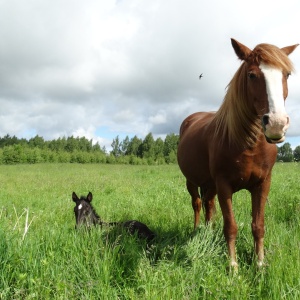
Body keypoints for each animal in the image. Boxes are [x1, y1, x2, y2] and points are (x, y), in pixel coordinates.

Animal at [178, 38, 298, 268]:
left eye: (286, 74)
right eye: (251, 75)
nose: (276, 124)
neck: (247, 144)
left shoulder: (262, 184)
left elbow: (258, 225)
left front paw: (259, 264)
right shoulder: (224, 185)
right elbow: (231, 226)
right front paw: (233, 266)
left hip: (210, 184)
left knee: (208, 204)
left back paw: (208, 232)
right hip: (192, 181)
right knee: (197, 203)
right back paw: (197, 230)